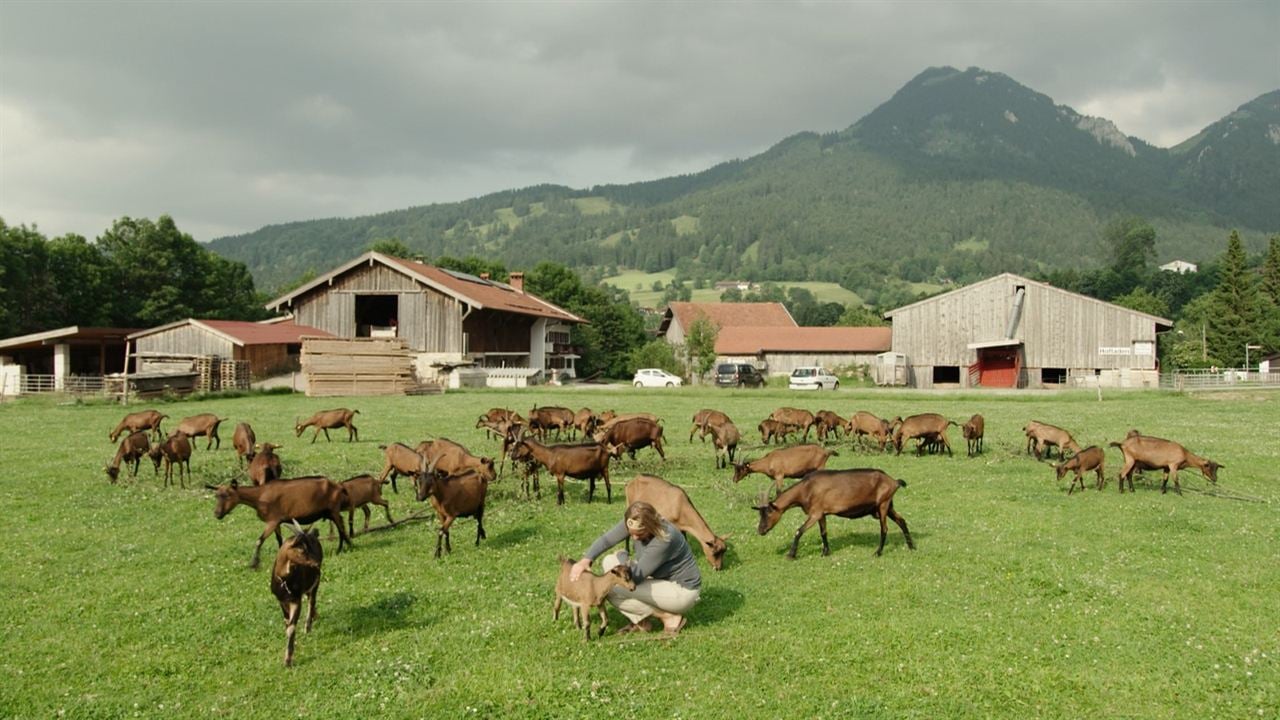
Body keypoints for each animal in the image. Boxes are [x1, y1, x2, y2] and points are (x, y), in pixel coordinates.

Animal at [208, 474, 350, 568]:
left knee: (341, 527)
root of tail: (338, 486)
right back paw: (344, 546)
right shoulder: (277, 521)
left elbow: (259, 540)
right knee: (340, 525)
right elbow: (279, 540)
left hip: (333, 509)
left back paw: (345, 547)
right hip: (329, 512)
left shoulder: (272, 521)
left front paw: (253, 563)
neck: (260, 496)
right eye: (216, 496)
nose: (217, 514)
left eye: (227, 495)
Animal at [267, 520, 320, 666]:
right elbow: (287, 623)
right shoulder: (282, 600)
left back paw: (308, 626)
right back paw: (315, 616)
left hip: (315, 583)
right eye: (302, 549)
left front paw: (288, 661)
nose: (316, 564)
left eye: (310, 546)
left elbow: (291, 627)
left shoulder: (296, 600)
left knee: (312, 601)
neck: (284, 581)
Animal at [752, 461, 916, 558]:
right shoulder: (822, 513)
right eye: (760, 513)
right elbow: (823, 532)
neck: (806, 488)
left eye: (768, 512)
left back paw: (878, 552)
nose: (760, 530)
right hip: (888, 506)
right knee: (902, 521)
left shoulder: (815, 513)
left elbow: (799, 530)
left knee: (884, 528)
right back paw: (911, 546)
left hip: (883, 504)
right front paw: (825, 552)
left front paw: (791, 554)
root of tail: (894, 481)